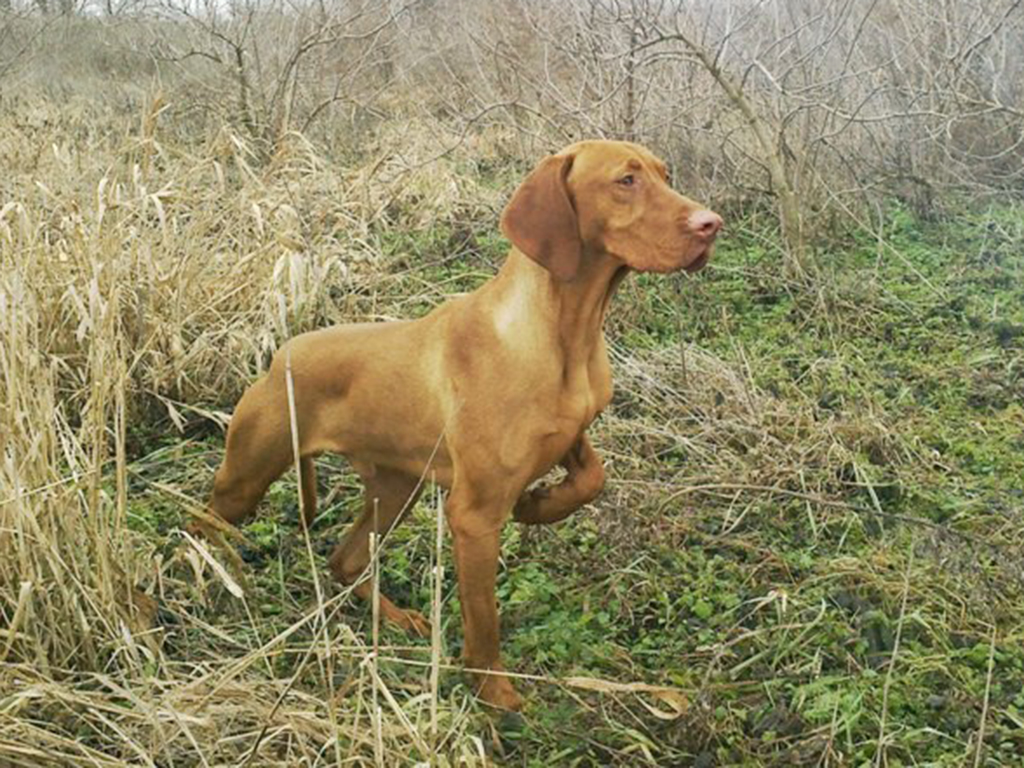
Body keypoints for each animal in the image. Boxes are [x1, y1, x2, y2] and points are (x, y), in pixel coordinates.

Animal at [205, 138, 720, 708]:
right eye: (626, 180)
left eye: (665, 176)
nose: (712, 224)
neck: (565, 333)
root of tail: (281, 355)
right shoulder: (474, 516)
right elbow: (484, 618)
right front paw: (494, 695)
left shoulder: (569, 432)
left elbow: (592, 478)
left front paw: (538, 504)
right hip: (247, 477)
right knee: (204, 519)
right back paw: (204, 572)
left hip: (396, 490)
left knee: (345, 559)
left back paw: (392, 616)